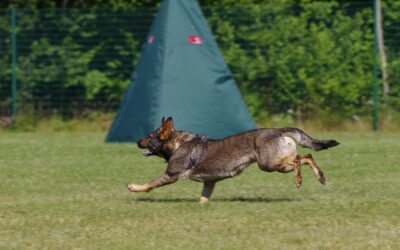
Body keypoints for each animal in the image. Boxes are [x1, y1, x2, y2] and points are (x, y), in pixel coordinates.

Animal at [126, 117, 340, 203]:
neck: (178, 144)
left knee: (297, 159)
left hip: (268, 164)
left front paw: (134, 187)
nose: (136, 141)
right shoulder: (209, 182)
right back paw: (320, 177)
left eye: (150, 136)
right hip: (276, 164)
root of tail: (279, 130)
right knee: (307, 157)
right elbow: (203, 197)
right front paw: (202, 205)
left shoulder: (171, 175)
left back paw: (299, 180)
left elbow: (150, 184)